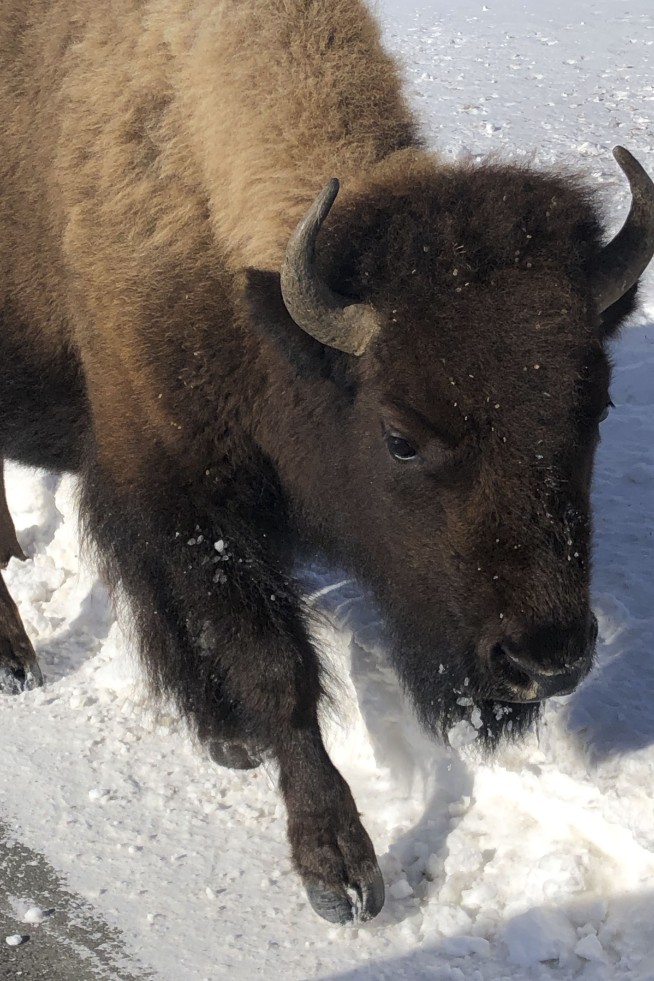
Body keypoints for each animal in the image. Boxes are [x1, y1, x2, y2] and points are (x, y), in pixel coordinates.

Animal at [1, 0, 653, 924]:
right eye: (400, 435)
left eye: (595, 408)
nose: (546, 661)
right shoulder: (182, 495)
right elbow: (278, 669)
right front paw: (339, 869)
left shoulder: (158, 498)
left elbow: (173, 610)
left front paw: (224, 736)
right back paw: (14, 661)